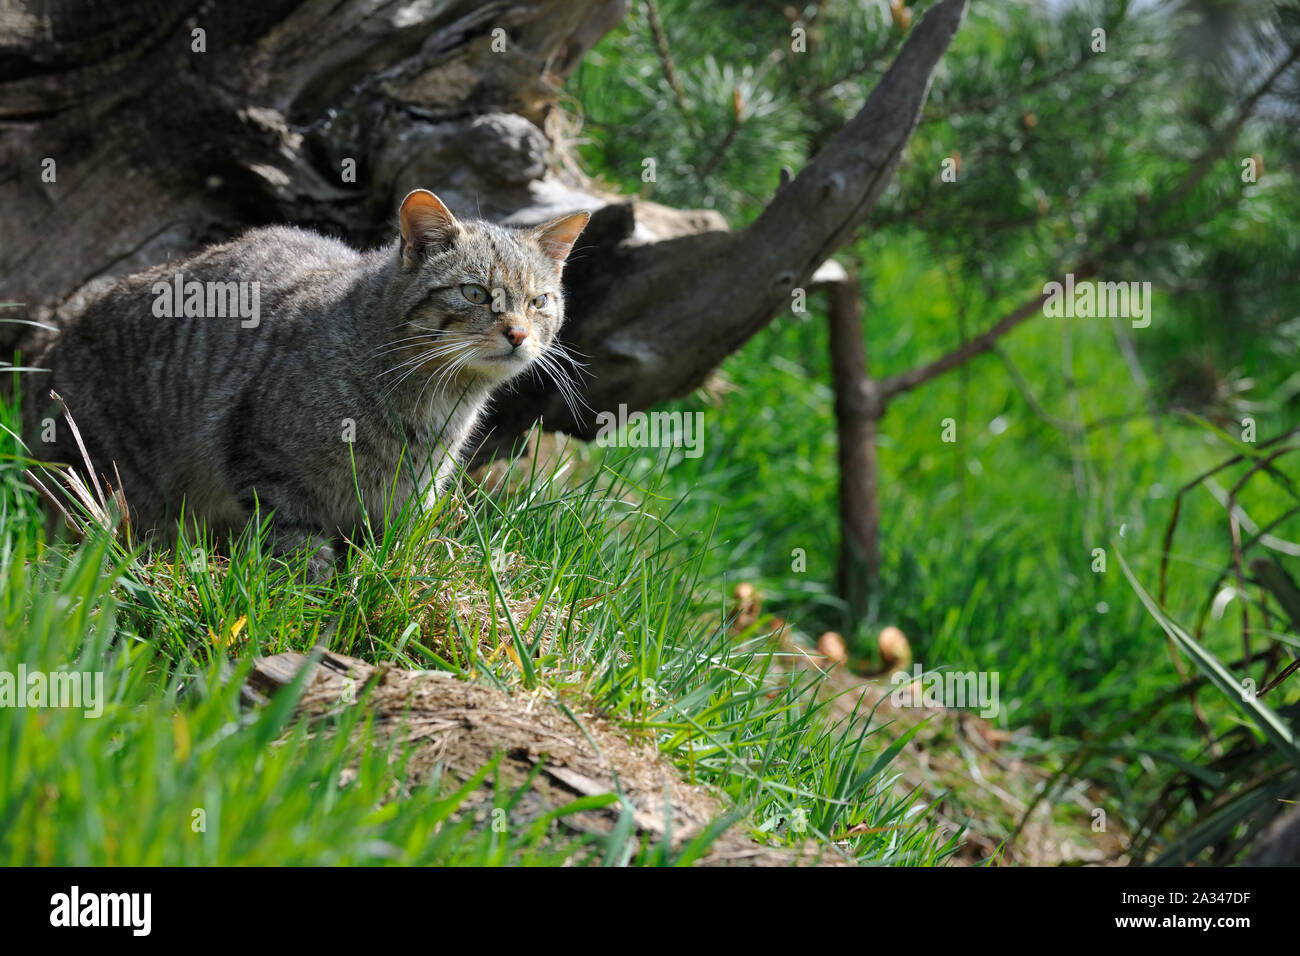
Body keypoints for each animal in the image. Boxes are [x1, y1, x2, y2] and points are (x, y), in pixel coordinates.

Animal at [25, 187, 590, 574]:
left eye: (539, 301)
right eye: (474, 293)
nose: (518, 333)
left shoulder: (404, 502)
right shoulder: (272, 473)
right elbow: (304, 554)